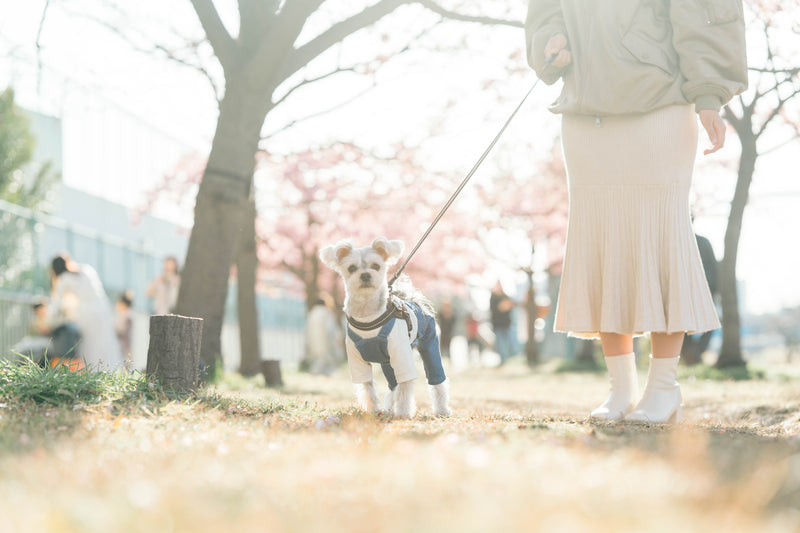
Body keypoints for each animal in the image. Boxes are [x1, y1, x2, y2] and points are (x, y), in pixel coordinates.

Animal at [318, 239, 450, 418]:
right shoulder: (356, 360)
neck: (368, 315)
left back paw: (442, 410)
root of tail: (413, 300)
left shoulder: (402, 356)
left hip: (429, 345)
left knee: (437, 381)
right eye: (351, 268)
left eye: (376, 266)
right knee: (393, 386)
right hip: (387, 362)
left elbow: (405, 387)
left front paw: (403, 413)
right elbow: (368, 387)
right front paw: (373, 410)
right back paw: (389, 408)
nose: (365, 275)